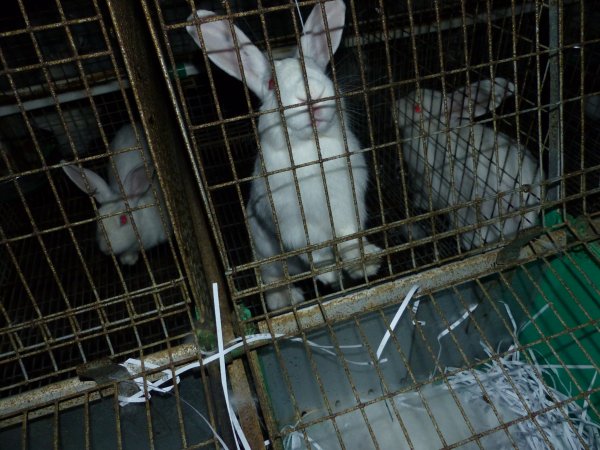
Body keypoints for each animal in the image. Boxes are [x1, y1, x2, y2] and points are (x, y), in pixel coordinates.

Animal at [186, 0, 380, 310]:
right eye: (271, 86)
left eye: (320, 71)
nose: (311, 96)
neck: (311, 149)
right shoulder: (290, 224)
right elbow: (313, 249)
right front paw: (328, 275)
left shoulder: (348, 206)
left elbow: (350, 238)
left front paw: (366, 264)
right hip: (266, 257)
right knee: (273, 279)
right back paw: (284, 299)